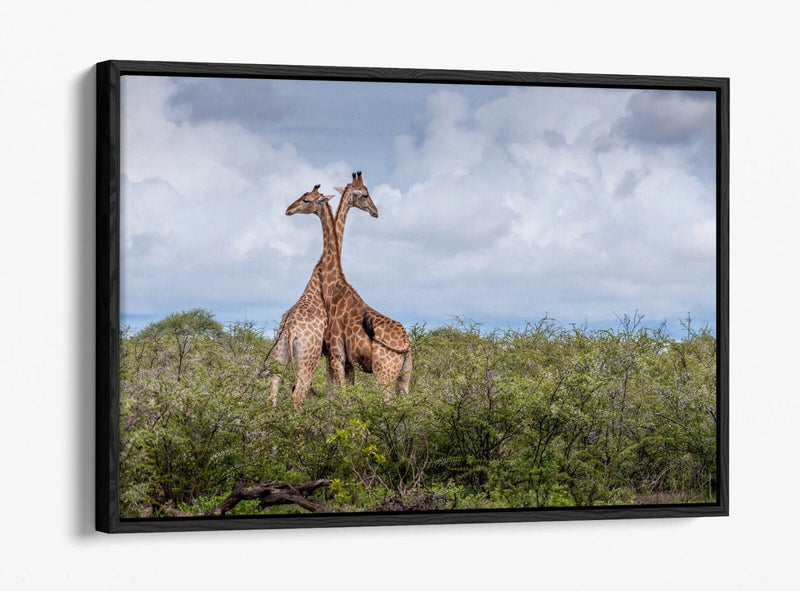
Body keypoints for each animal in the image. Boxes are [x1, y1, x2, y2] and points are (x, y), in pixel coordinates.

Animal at [266, 176, 378, 407]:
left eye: (305, 198)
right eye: (365, 195)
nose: (375, 211)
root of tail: (290, 331)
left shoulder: (329, 354)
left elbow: (331, 394)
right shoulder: (333, 353)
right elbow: (335, 393)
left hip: (279, 355)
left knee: (272, 395)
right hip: (308, 357)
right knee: (298, 394)